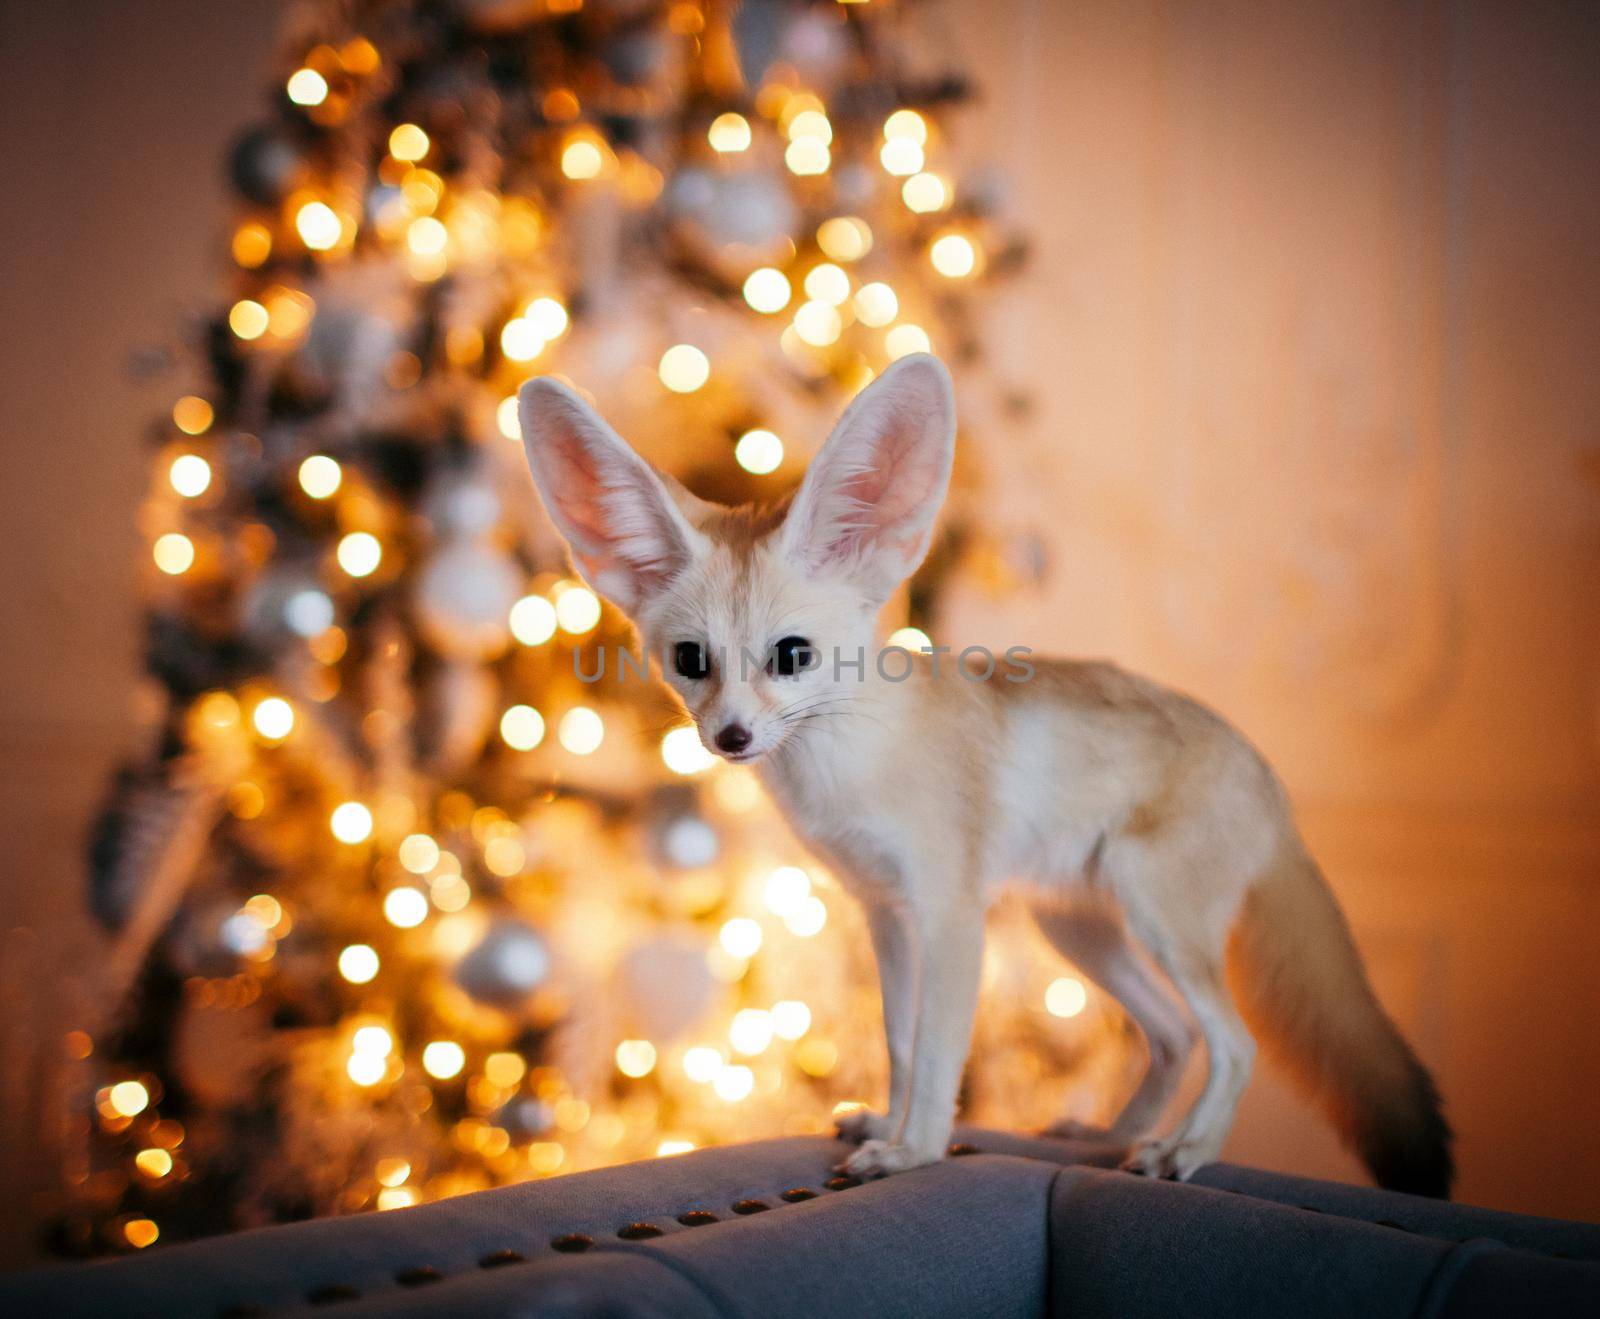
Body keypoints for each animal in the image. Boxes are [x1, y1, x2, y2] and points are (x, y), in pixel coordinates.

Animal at [512, 352, 1452, 1197]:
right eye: (690, 660)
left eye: (792, 654)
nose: (733, 736)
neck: (851, 768)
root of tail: (1269, 774)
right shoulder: (886, 912)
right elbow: (898, 1042)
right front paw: (891, 1126)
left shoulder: (952, 913)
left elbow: (938, 1052)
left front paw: (915, 1150)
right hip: (1078, 928)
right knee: (1176, 1035)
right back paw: (1107, 1137)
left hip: (1153, 917)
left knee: (1233, 1042)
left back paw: (1181, 1151)